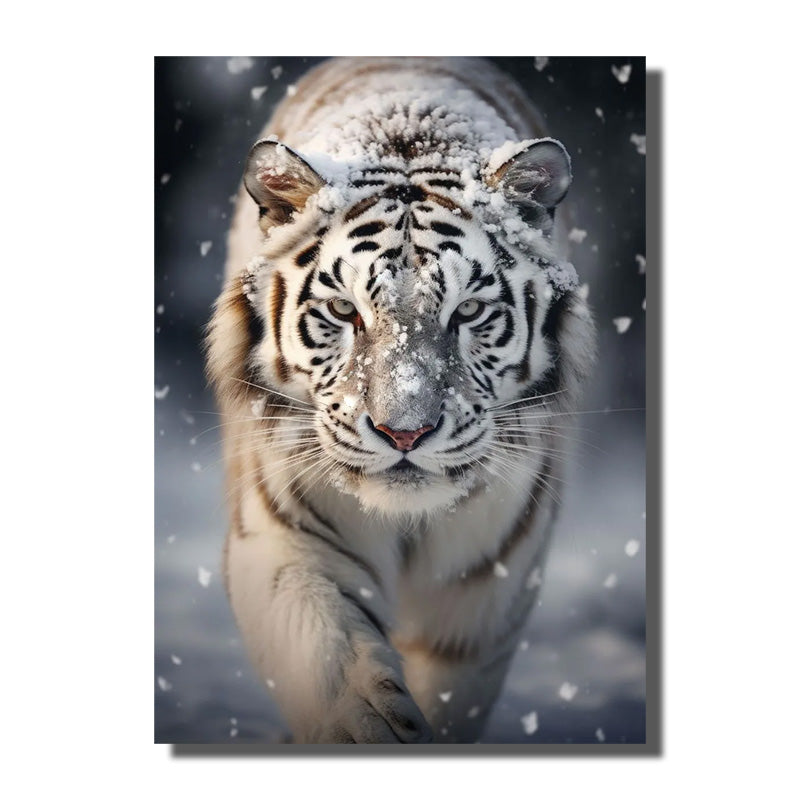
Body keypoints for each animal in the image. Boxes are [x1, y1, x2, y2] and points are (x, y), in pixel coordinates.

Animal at [205, 57, 595, 744]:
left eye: (467, 311)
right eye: (343, 311)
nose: (405, 433)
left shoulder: (487, 590)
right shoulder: (284, 540)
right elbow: (333, 659)